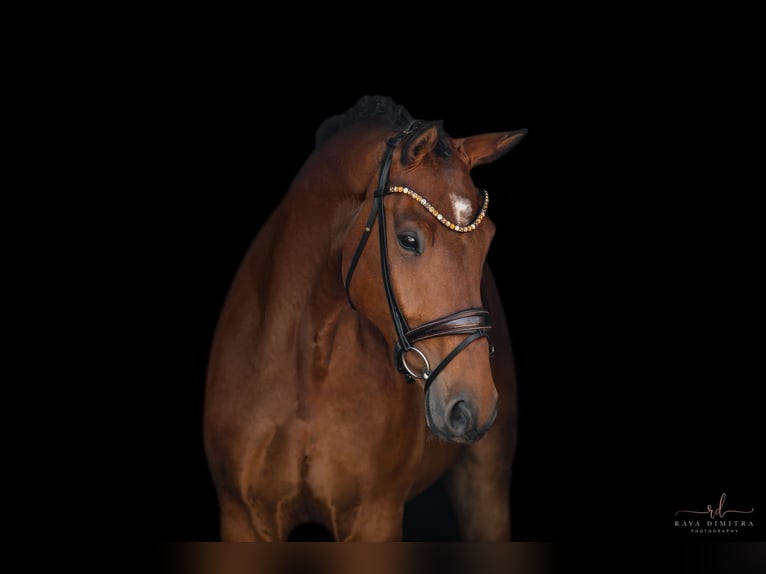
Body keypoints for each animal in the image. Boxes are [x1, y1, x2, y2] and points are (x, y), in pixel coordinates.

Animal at [203, 95, 527, 541]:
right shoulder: (242, 518)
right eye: (408, 239)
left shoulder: (375, 517)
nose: (472, 406)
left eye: (488, 239)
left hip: (486, 487)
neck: (304, 367)